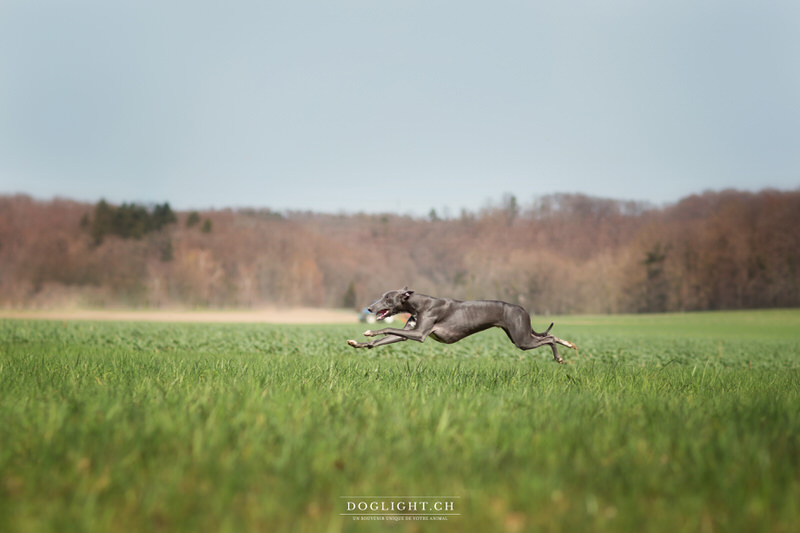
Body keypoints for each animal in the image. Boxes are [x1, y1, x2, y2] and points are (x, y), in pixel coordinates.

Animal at [344, 286, 576, 362]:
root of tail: (522, 309)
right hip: (520, 334)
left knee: (550, 338)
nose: (369, 308)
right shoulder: (407, 333)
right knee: (549, 336)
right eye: (381, 296)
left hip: (521, 339)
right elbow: (388, 337)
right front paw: (358, 343)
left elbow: (387, 327)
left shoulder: (420, 334)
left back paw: (560, 357)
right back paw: (568, 344)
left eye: (387, 298)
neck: (418, 304)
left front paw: (369, 331)